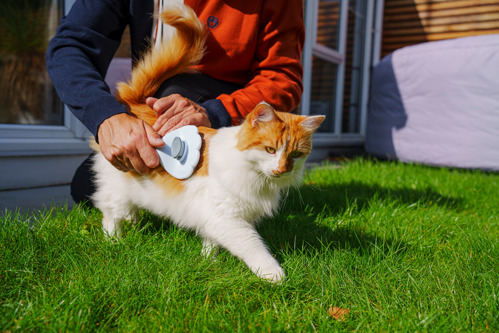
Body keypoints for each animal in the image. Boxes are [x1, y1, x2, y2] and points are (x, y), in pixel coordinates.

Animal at [91, 3, 324, 282]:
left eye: (295, 156)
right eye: (270, 150)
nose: (282, 169)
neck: (254, 175)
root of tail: (136, 106)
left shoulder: (214, 217)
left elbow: (210, 243)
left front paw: (208, 262)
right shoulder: (229, 219)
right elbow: (254, 248)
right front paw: (274, 275)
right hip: (118, 191)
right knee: (110, 216)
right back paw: (114, 242)